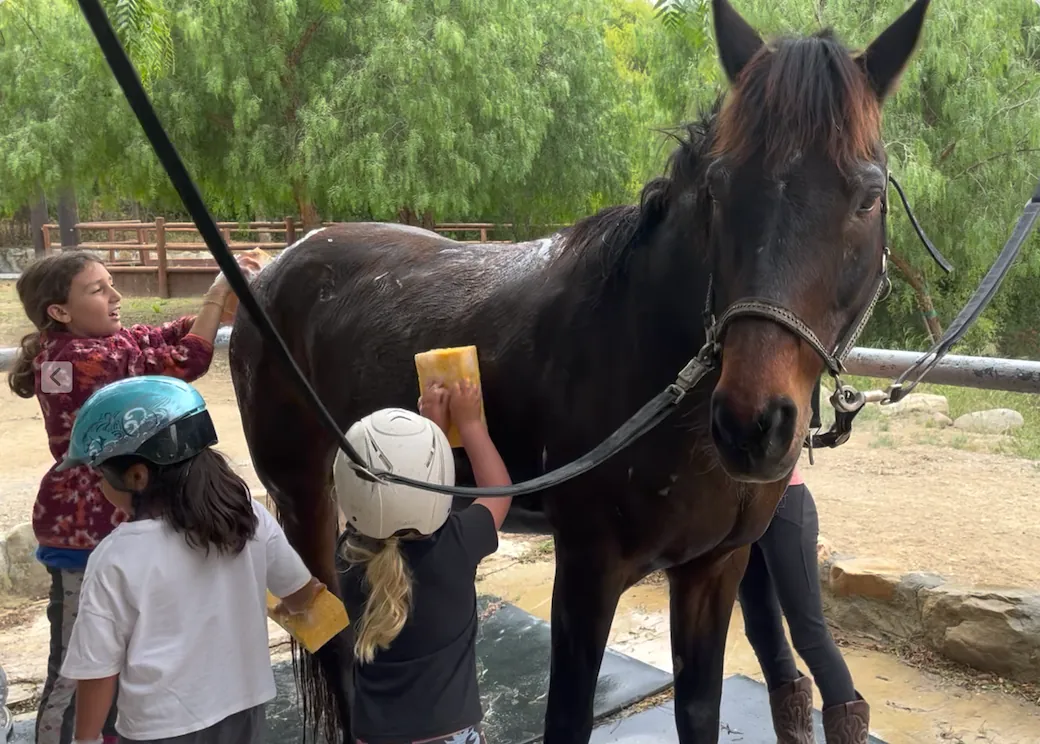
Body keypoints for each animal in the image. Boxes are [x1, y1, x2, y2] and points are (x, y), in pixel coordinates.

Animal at [228, 1, 932, 741]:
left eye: (868, 197)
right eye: (719, 189)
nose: (752, 425)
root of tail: (273, 269)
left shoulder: (713, 571)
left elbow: (700, 711)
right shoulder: (587, 575)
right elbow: (566, 717)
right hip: (303, 498)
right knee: (336, 650)